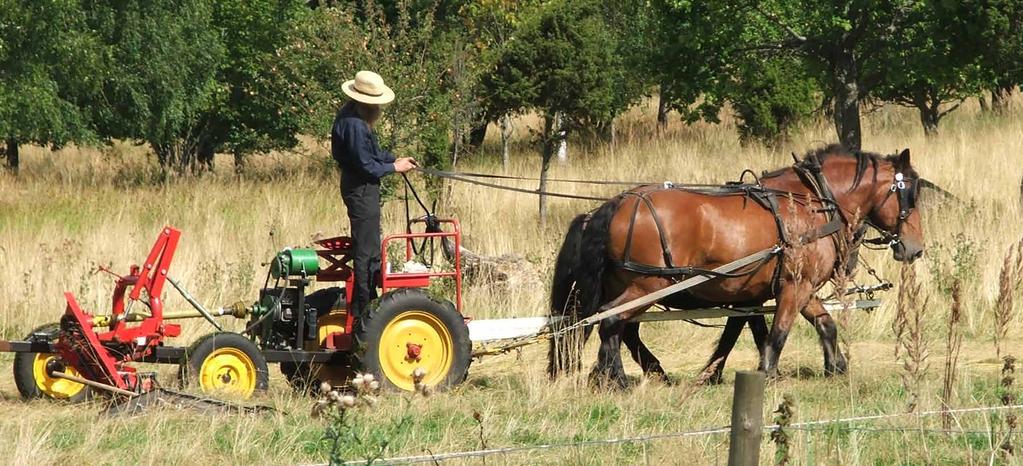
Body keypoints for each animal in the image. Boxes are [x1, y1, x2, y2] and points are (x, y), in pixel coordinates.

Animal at [552, 145, 928, 386]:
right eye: (908, 195)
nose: (915, 248)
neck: (813, 203)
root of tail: (615, 204)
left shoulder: (777, 291)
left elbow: (818, 325)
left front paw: (835, 367)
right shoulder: (795, 286)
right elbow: (778, 332)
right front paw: (768, 374)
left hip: (630, 285)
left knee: (622, 328)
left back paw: (644, 373)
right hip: (648, 285)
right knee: (611, 321)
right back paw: (614, 377)